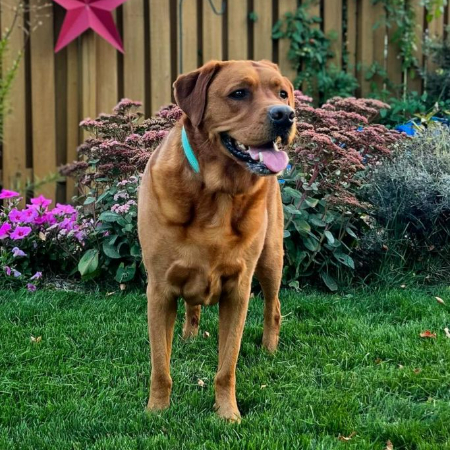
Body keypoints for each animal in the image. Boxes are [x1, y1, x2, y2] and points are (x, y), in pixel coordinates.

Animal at [139, 59, 298, 422]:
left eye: (282, 93)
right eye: (239, 93)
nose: (285, 115)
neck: (216, 194)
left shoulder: (237, 291)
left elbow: (227, 366)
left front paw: (227, 413)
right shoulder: (159, 290)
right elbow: (160, 365)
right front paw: (157, 410)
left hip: (271, 258)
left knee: (274, 307)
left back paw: (269, 348)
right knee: (192, 308)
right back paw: (189, 336)